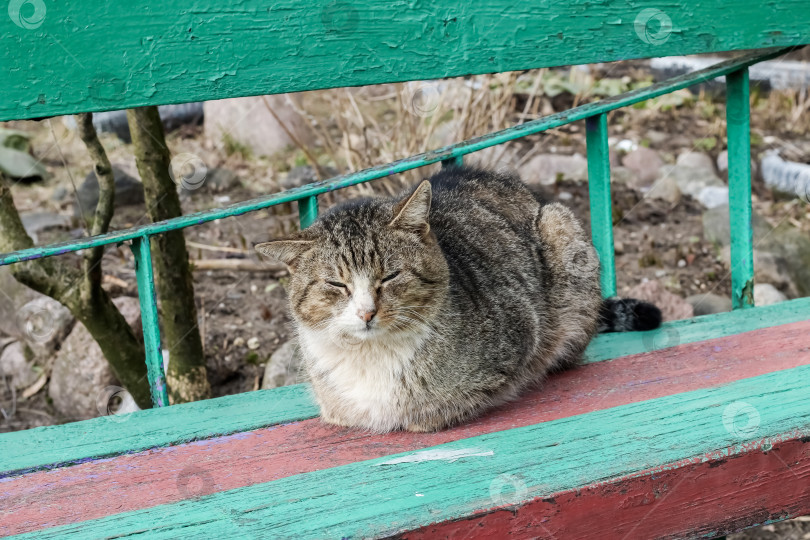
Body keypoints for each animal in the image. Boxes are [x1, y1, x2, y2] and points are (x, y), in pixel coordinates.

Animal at [256, 167, 660, 432]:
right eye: (337, 284)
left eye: (390, 276)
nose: (367, 313)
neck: (371, 356)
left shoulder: (519, 341)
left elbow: (437, 409)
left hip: (560, 228)